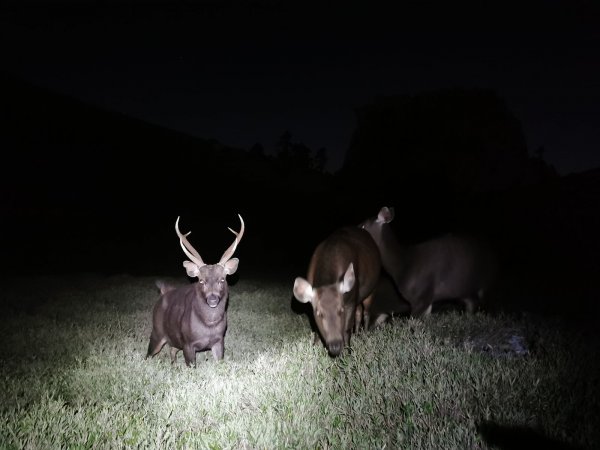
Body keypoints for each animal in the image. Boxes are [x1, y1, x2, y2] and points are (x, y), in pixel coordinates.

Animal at [146, 214, 244, 366]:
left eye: (222, 279)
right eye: (201, 280)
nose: (212, 299)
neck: (209, 326)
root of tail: (163, 292)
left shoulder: (219, 341)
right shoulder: (187, 343)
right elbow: (192, 366)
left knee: (172, 350)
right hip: (157, 332)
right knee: (149, 354)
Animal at [292, 227, 382, 356]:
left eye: (341, 310)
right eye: (319, 313)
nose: (335, 346)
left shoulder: (350, 300)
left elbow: (347, 329)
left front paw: (348, 351)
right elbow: (316, 328)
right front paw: (315, 346)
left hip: (372, 288)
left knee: (366, 312)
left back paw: (364, 334)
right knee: (359, 311)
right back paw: (357, 333)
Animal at [360, 207, 496, 316]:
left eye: (363, 226)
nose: (356, 228)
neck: (403, 265)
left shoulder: (421, 297)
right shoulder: (427, 300)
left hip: (487, 282)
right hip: (466, 290)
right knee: (472, 304)